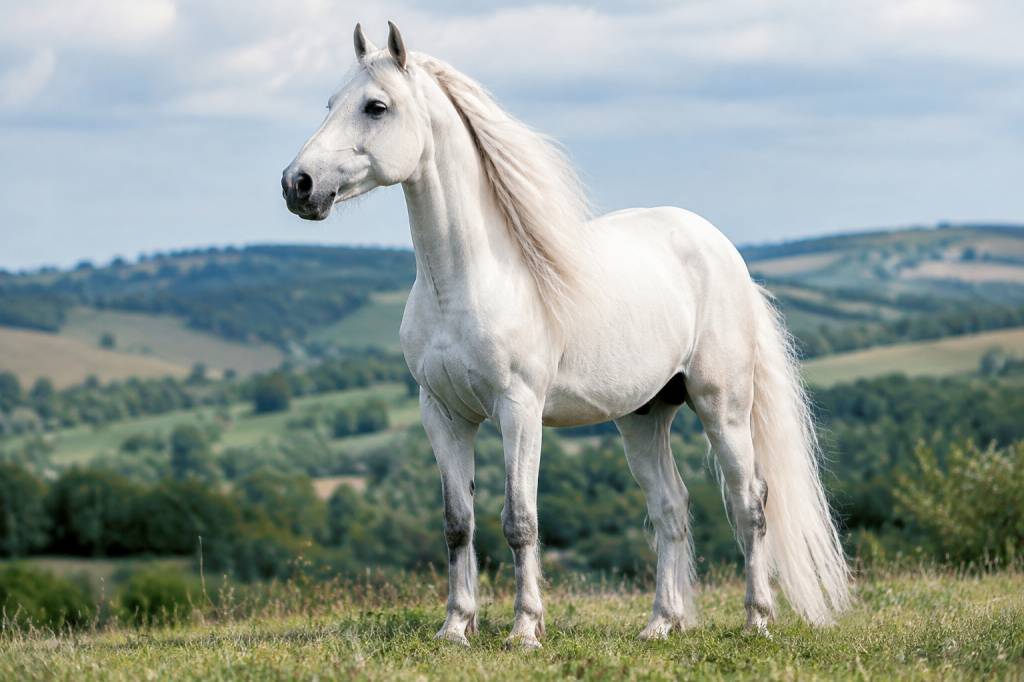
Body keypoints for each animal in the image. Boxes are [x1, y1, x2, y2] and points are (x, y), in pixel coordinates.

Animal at [282, 21, 850, 648]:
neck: (464, 283)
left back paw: (757, 620)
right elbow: (458, 523)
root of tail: (721, 249)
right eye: (331, 103)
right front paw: (455, 627)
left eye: (376, 107)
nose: (297, 184)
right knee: (671, 510)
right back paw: (660, 623)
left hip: (722, 406)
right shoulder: (443, 414)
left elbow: (519, 521)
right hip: (644, 417)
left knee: (748, 503)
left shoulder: (519, 410)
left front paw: (524, 630)